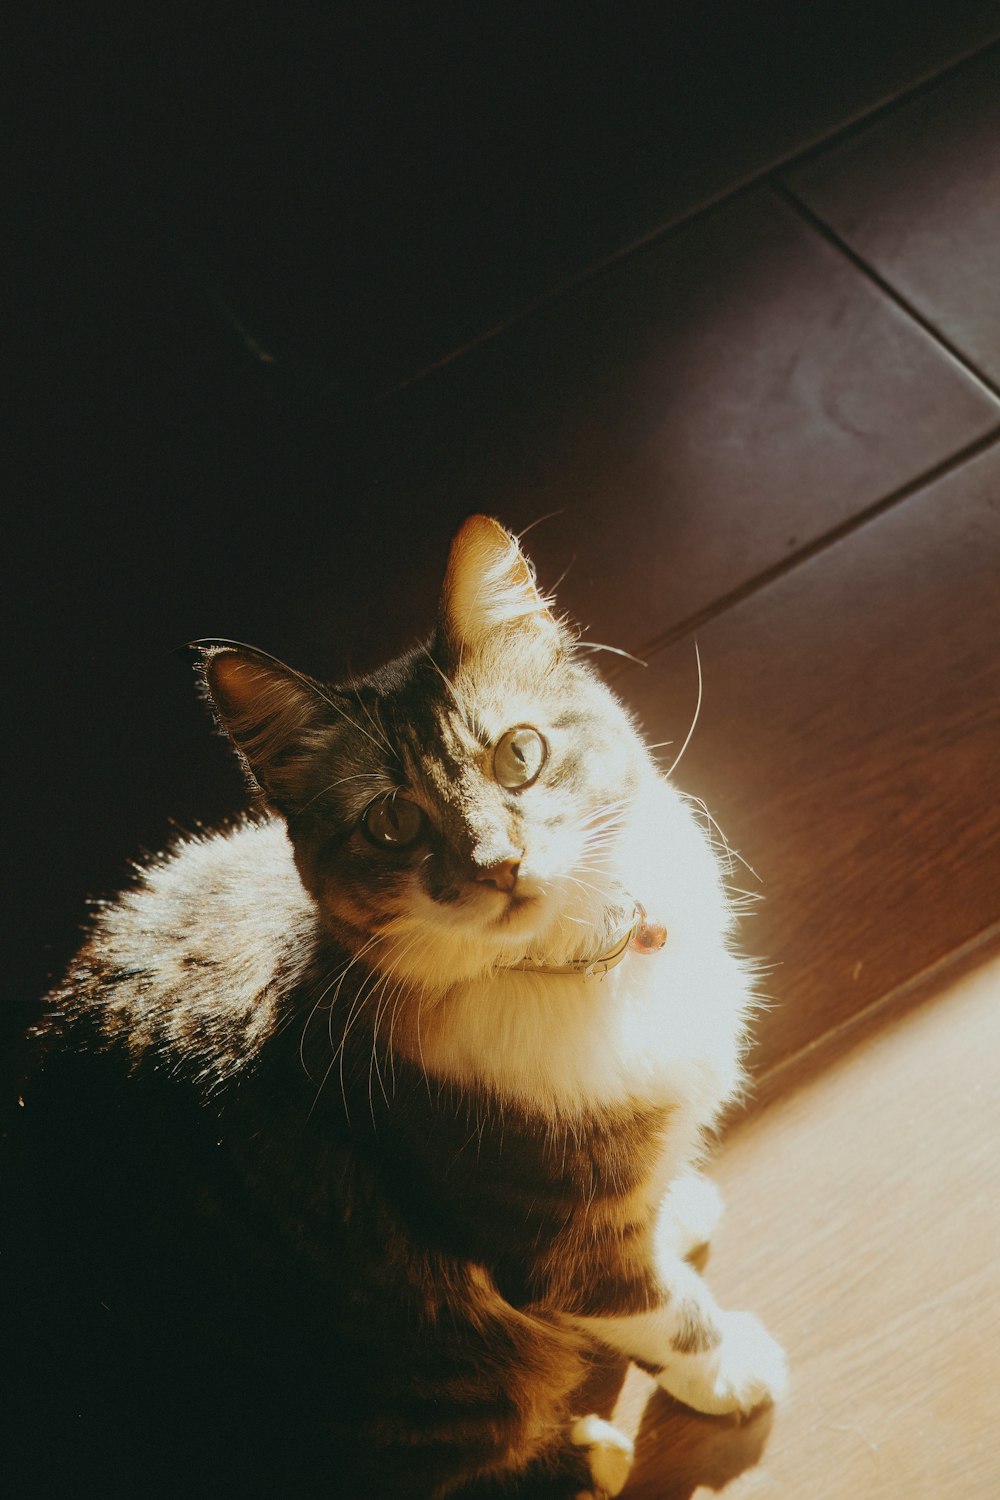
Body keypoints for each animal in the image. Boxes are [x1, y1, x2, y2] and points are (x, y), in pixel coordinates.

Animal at [5, 519, 791, 1500]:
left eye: (518, 755)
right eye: (391, 823)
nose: (498, 864)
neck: (573, 966)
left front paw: (675, 1209)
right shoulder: (547, 1247)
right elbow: (663, 1314)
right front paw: (732, 1372)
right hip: (442, 1384)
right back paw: (590, 1456)